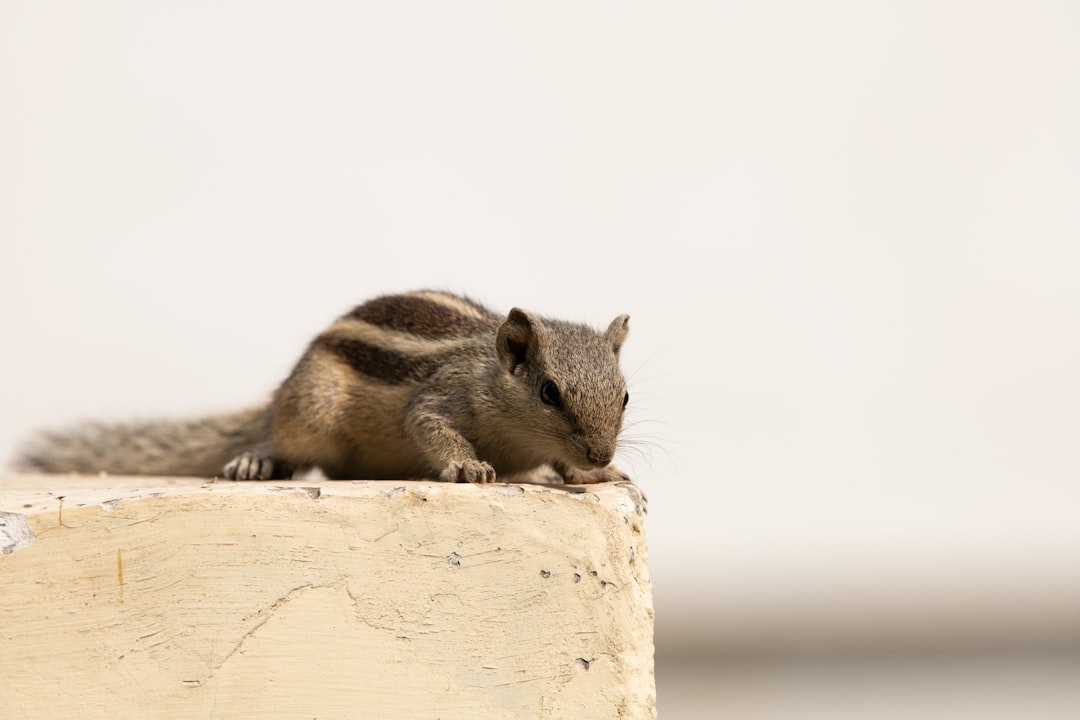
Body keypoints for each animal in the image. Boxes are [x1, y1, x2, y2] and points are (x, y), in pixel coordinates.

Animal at [14, 289, 630, 487]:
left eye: (624, 396)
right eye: (549, 392)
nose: (602, 452)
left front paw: (598, 475)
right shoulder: (441, 394)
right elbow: (427, 424)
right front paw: (469, 466)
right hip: (309, 409)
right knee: (280, 439)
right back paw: (257, 460)